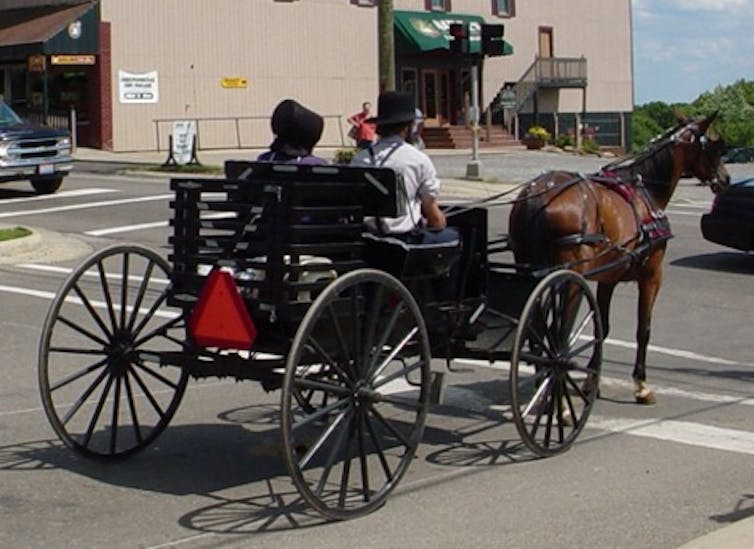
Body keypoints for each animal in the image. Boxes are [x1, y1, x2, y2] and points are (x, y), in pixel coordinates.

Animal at [508, 112, 724, 402]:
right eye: (715, 147)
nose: (726, 180)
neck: (646, 190)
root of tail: (536, 195)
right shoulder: (652, 276)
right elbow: (643, 330)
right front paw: (640, 384)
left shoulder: (608, 278)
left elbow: (604, 327)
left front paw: (592, 381)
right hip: (570, 279)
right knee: (559, 334)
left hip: (532, 271)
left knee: (537, 329)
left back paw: (541, 386)